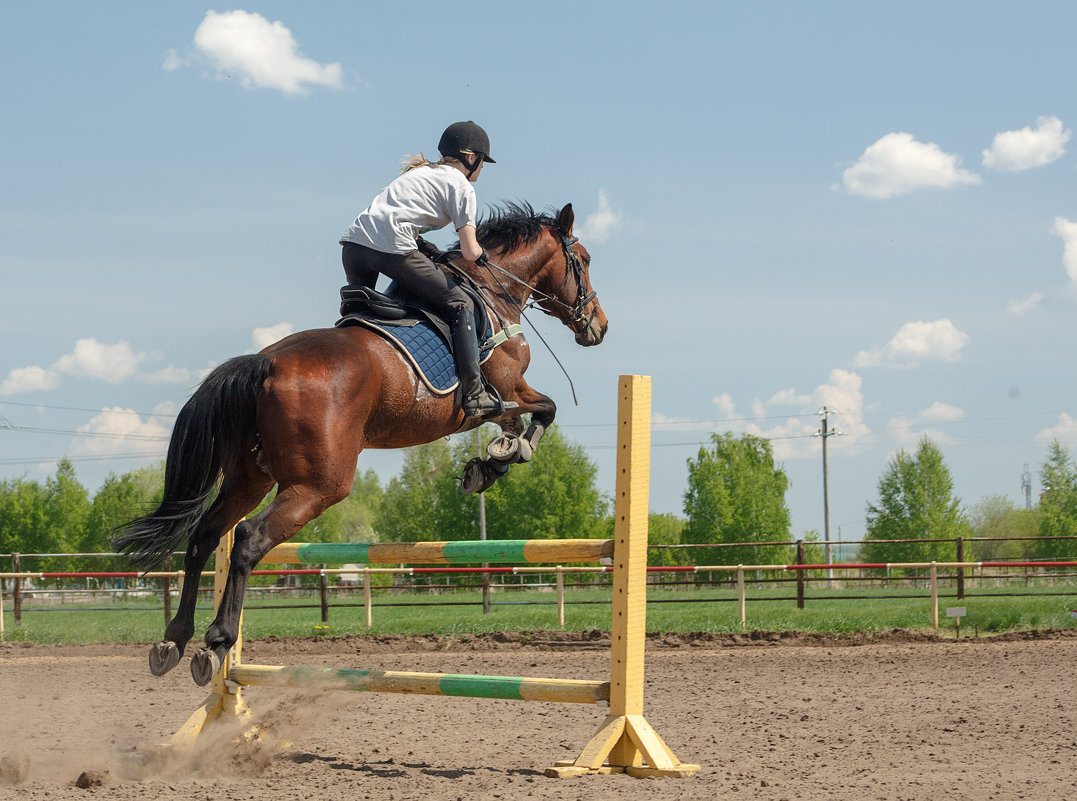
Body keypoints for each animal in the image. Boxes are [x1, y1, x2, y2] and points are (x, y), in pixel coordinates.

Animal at [116, 200, 611, 680]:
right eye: (584, 261)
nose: (599, 326)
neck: (492, 291)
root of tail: (265, 362)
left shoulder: (504, 400)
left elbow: (522, 421)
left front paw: (490, 462)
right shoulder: (508, 389)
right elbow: (545, 409)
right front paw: (504, 455)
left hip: (248, 477)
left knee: (205, 535)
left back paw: (175, 640)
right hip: (319, 485)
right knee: (248, 537)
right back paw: (217, 641)